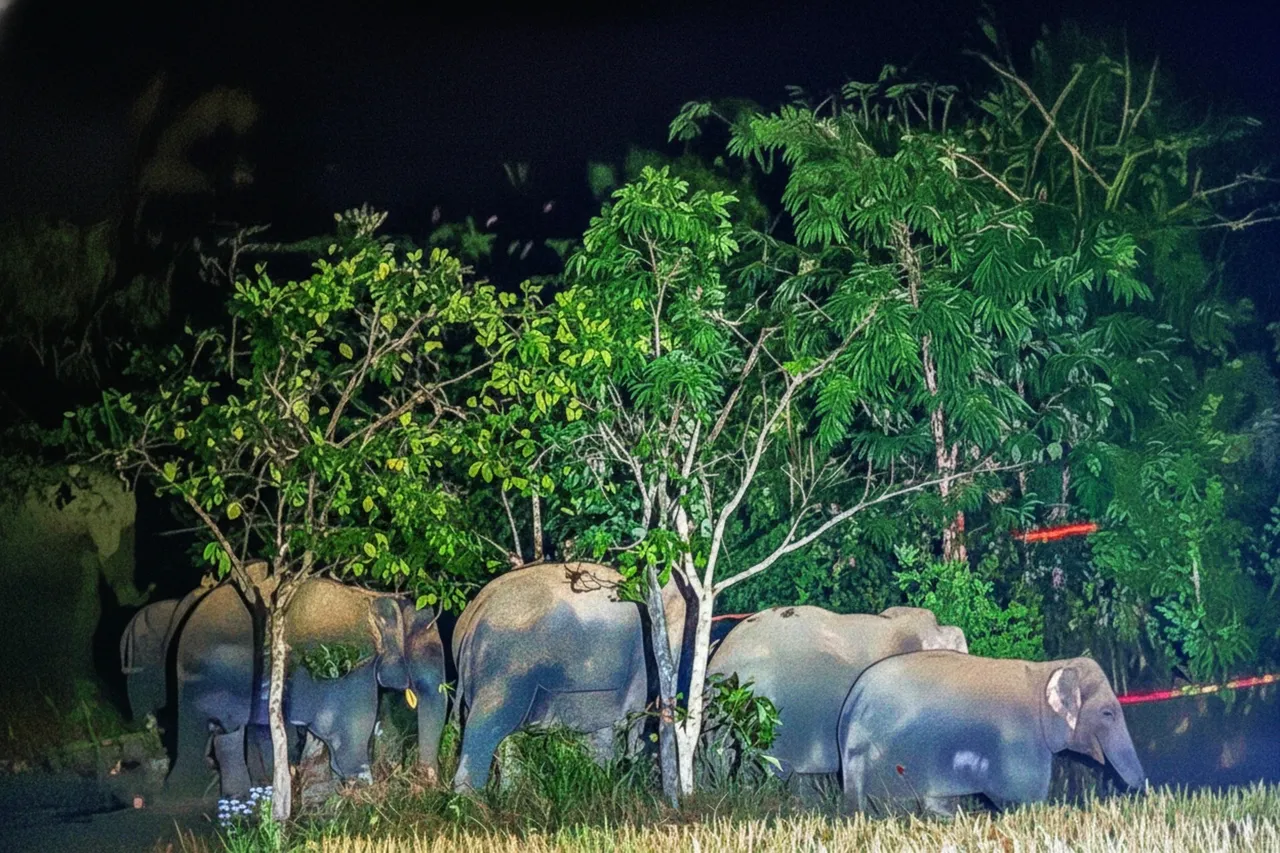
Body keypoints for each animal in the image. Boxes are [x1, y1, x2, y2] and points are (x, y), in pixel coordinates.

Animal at [166, 577, 447, 798]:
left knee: (228, 737)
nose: (422, 785)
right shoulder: (349, 667)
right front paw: (363, 794)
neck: (373, 596)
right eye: (428, 650)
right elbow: (347, 736)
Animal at [838, 650, 1147, 816]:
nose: (1142, 792)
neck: (1049, 668)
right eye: (1108, 713)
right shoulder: (1020, 739)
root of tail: (853, 703)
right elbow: (1022, 797)